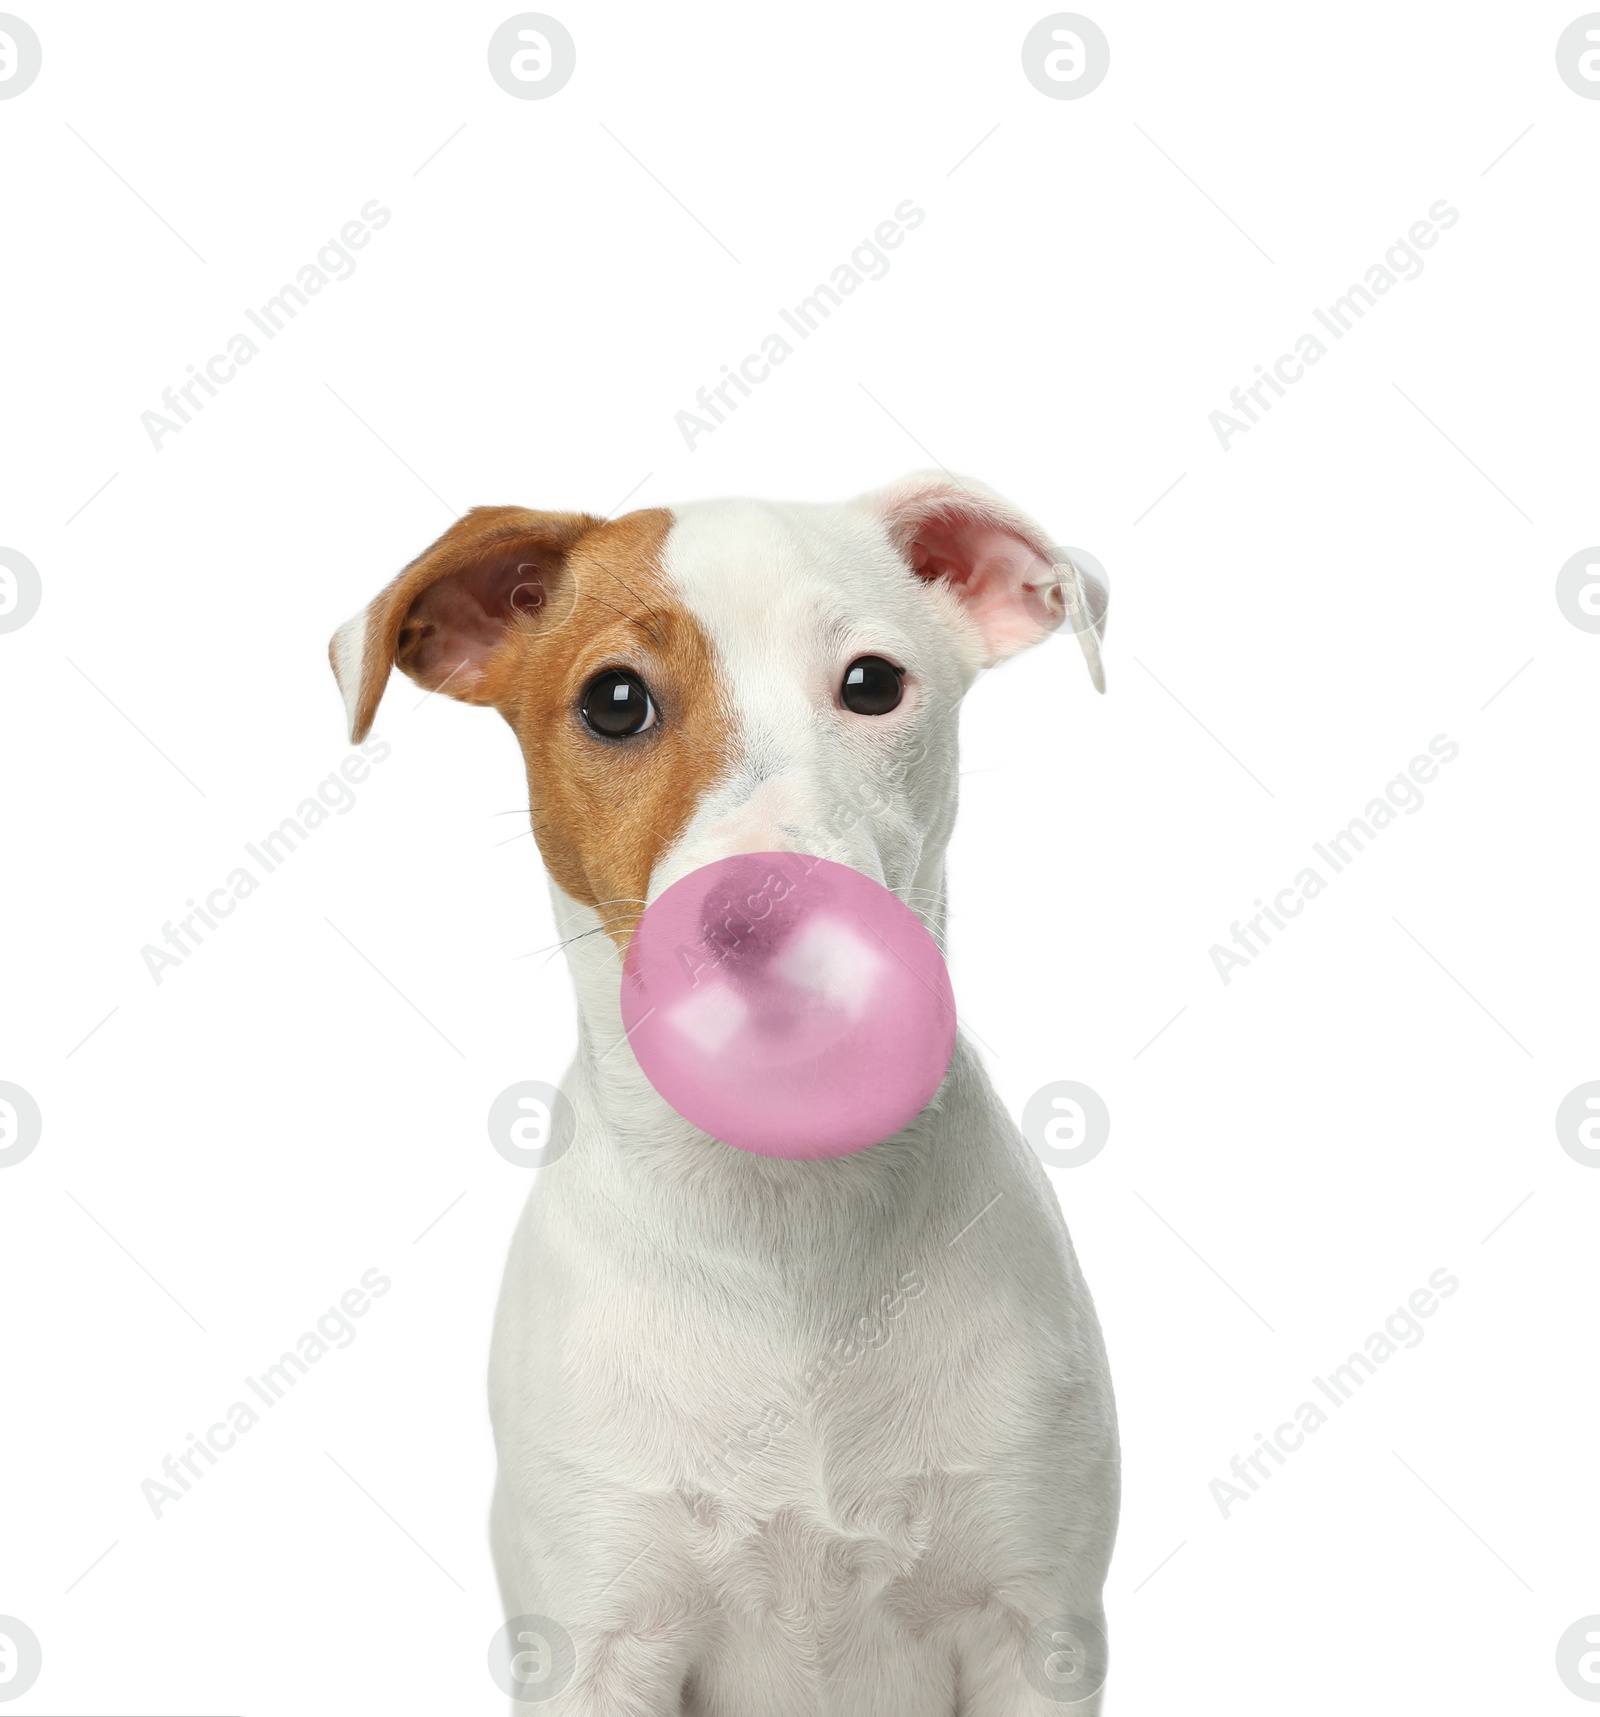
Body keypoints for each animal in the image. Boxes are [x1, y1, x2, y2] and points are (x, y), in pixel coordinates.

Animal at [331, 473, 1119, 1717]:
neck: (780, 1217)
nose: (762, 903)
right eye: (613, 701)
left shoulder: (1032, 1634)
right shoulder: (597, 1644)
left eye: (871, 683)